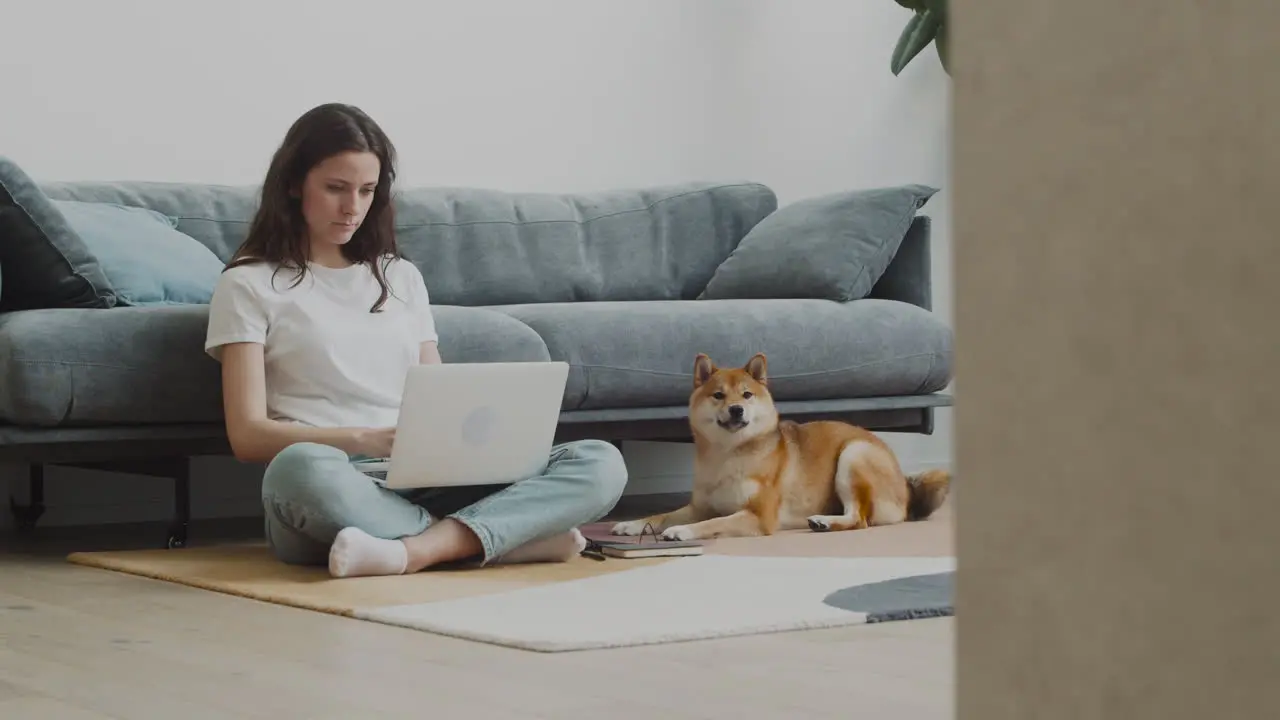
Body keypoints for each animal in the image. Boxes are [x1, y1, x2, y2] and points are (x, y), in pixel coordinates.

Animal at [609, 351, 952, 535]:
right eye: (718, 395)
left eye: (746, 394)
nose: (736, 409)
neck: (728, 456)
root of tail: (905, 484)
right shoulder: (699, 506)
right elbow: (662, 514)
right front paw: (633, 524)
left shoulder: (758, 516)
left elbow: (713, 522)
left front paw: (682, 531)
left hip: (853, 455)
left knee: (860, 519)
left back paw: (825, 521)